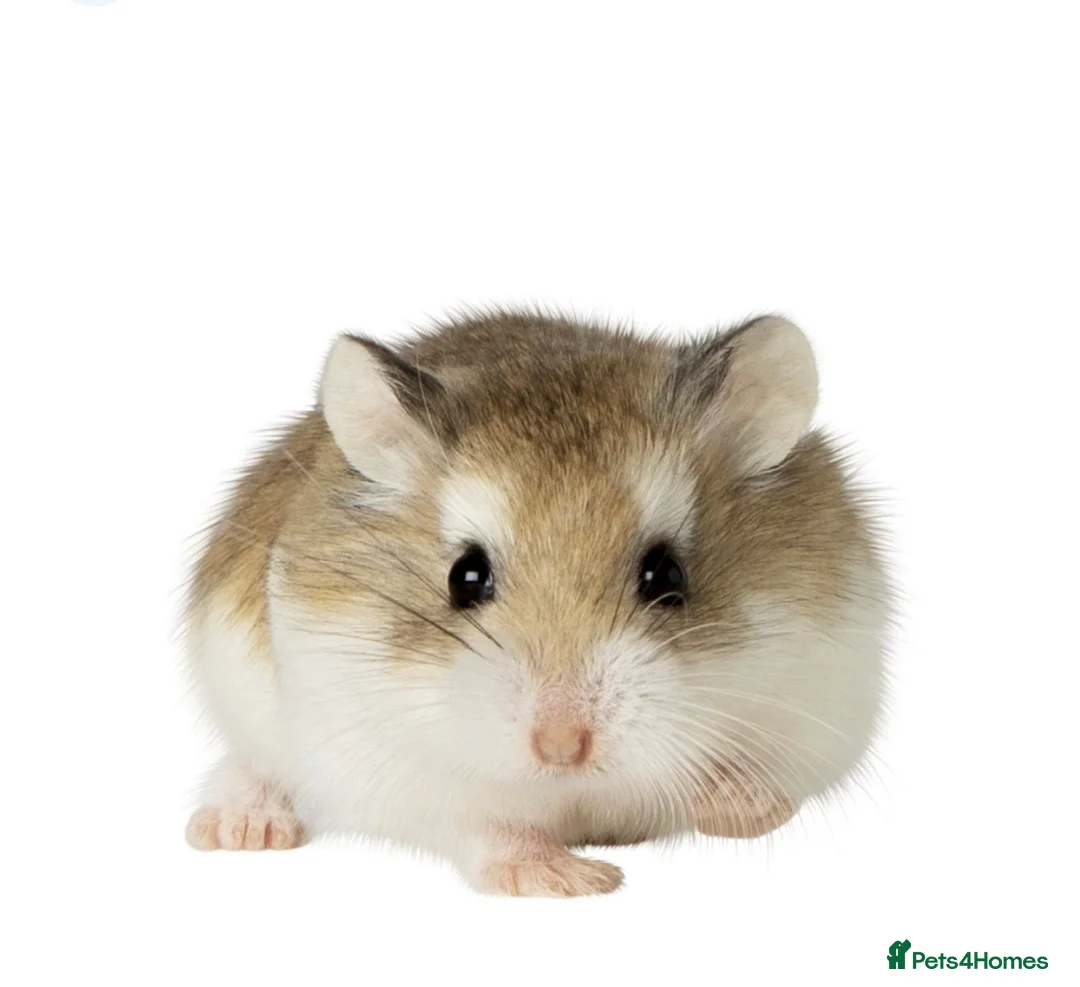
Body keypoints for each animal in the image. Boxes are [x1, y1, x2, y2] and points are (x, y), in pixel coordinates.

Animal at [183, 309, 890, 896]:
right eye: (465, 578)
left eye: (666, 574)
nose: (562, 748)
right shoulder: (391, 765)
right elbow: (491, 828)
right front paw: (576, 881)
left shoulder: (823, 702)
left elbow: (766, 784)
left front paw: (732, 801)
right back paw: (239, 828)